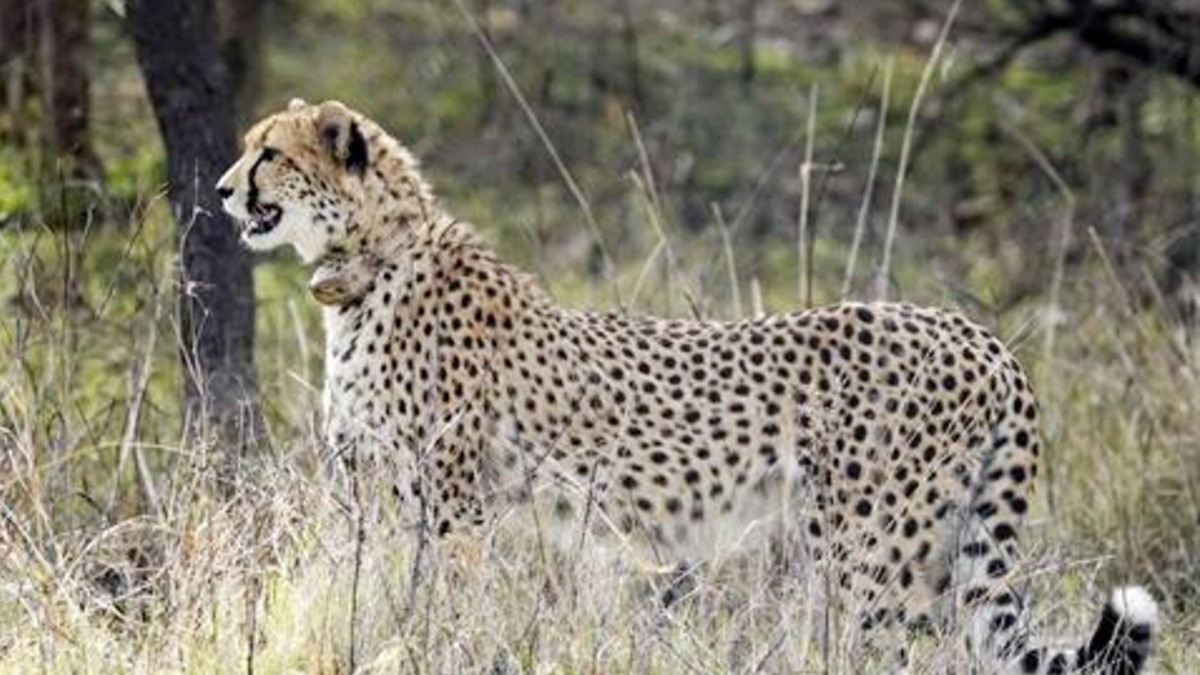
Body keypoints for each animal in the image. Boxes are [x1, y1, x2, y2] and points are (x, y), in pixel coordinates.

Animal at [217, 98, 1157, 673]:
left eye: (270, 152)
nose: (222, 189)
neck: (372, 263)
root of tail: (980, 333)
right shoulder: (379, 496)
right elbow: (373, 596)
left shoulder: (452, 503)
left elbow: (443, 603)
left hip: (868, 548)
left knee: (889, 649)